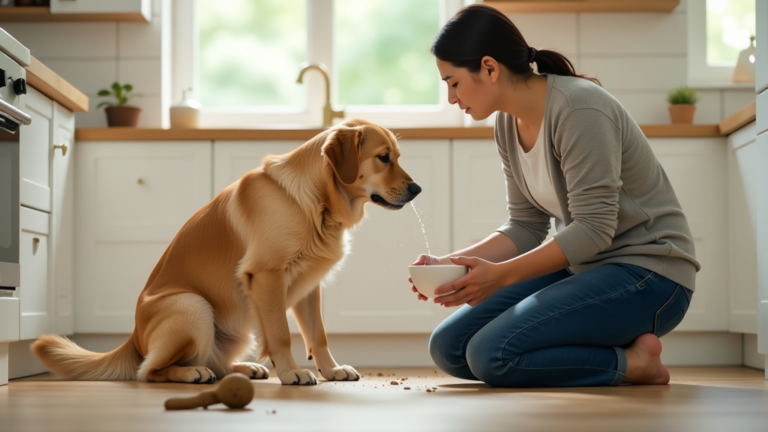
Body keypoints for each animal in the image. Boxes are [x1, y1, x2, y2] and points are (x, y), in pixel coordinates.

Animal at [33, 118, 424, 384]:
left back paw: (244, 368)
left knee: (217, 364)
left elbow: (319, 335)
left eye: (398, 156)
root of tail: (133, 338)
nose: (418, 189)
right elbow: (281, 334)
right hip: (193, 306)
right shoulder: (265, 276)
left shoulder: (309, 287)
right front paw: (292, 372)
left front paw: (331, 369)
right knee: (150, 370)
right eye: (383, 157)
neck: (313, 201)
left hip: (237, 326)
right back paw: (191, 373)